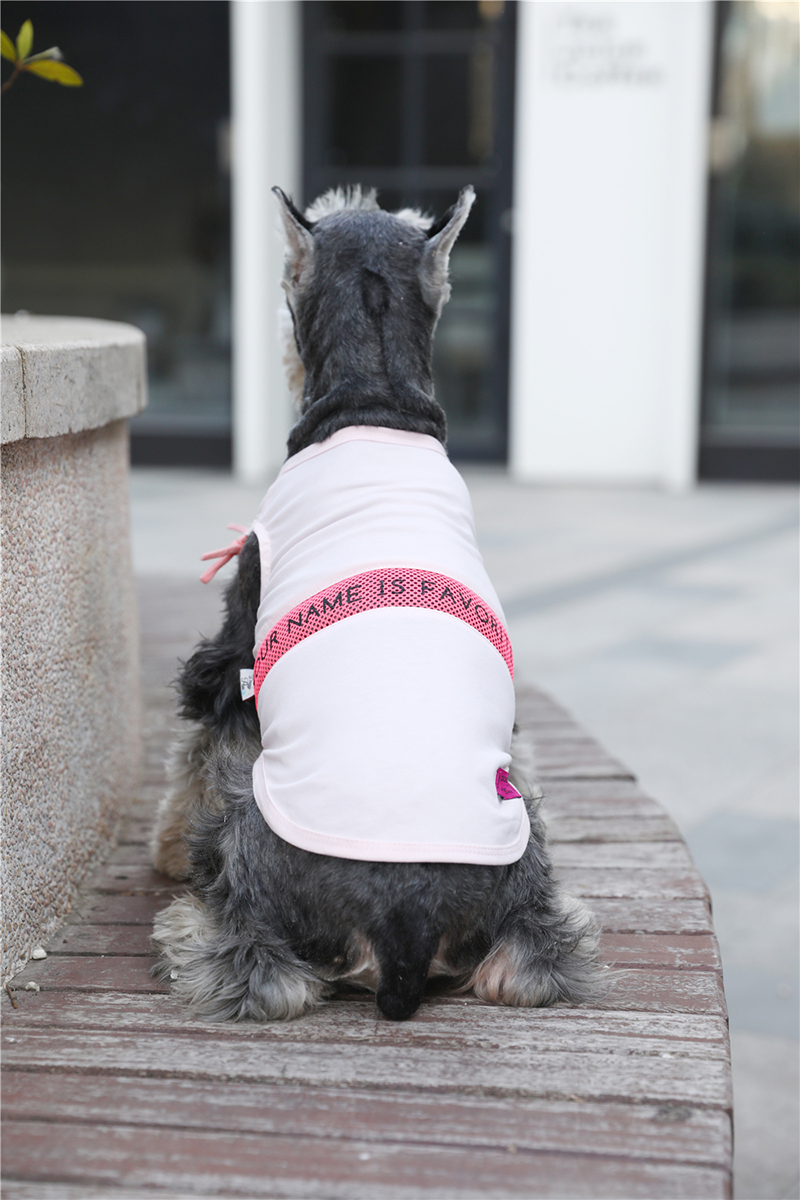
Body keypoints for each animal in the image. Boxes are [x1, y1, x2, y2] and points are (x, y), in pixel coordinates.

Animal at [150, 185, 601, 1022]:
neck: (376, 403)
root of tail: (404, 927)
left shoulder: (233, 653)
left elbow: (196, 745)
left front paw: (163, 848)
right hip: (526, 891)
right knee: (533, 959)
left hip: (251, 813)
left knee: (265, 968)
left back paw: (189, 923)